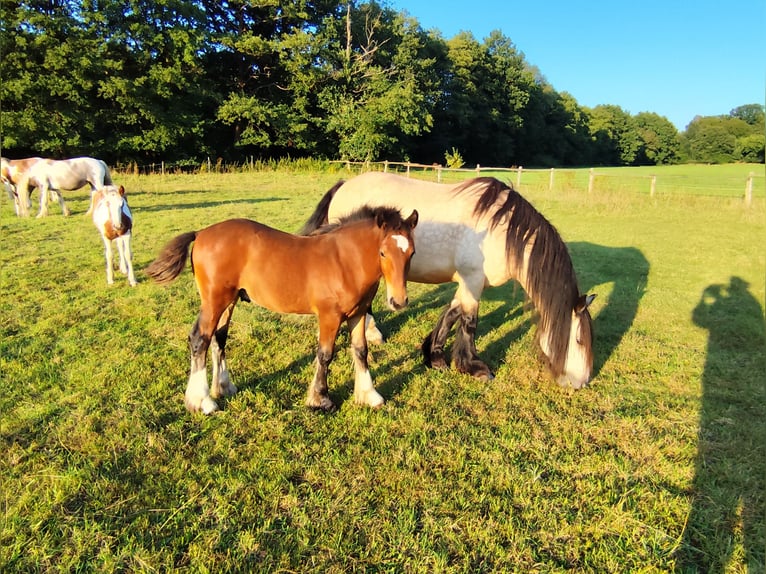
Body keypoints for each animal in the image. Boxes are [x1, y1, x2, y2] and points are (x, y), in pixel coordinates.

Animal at [146, 206, 416, 414]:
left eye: (411, 253)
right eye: (382, 252)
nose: (398, 301)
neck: (344, 260)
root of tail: (200, 233)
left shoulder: (358, 314)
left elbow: (361, 350)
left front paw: (369, 395)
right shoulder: (329, 316)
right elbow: (325, 355)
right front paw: (320, 400)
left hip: (228, 302)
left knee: (218, 338)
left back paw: (223, 388)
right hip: (214, 301)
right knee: (199, 339)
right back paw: (202, 401)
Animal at [304, 172, 596, 392]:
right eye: (579, 340)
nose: (580, 382)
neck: (501, 232)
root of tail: (344, 185)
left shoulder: (469, 283)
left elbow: (451, 314)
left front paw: (434, 356)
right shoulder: (472, 279)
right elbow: (469, 322)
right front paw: (473, 367)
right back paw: (373, 332)